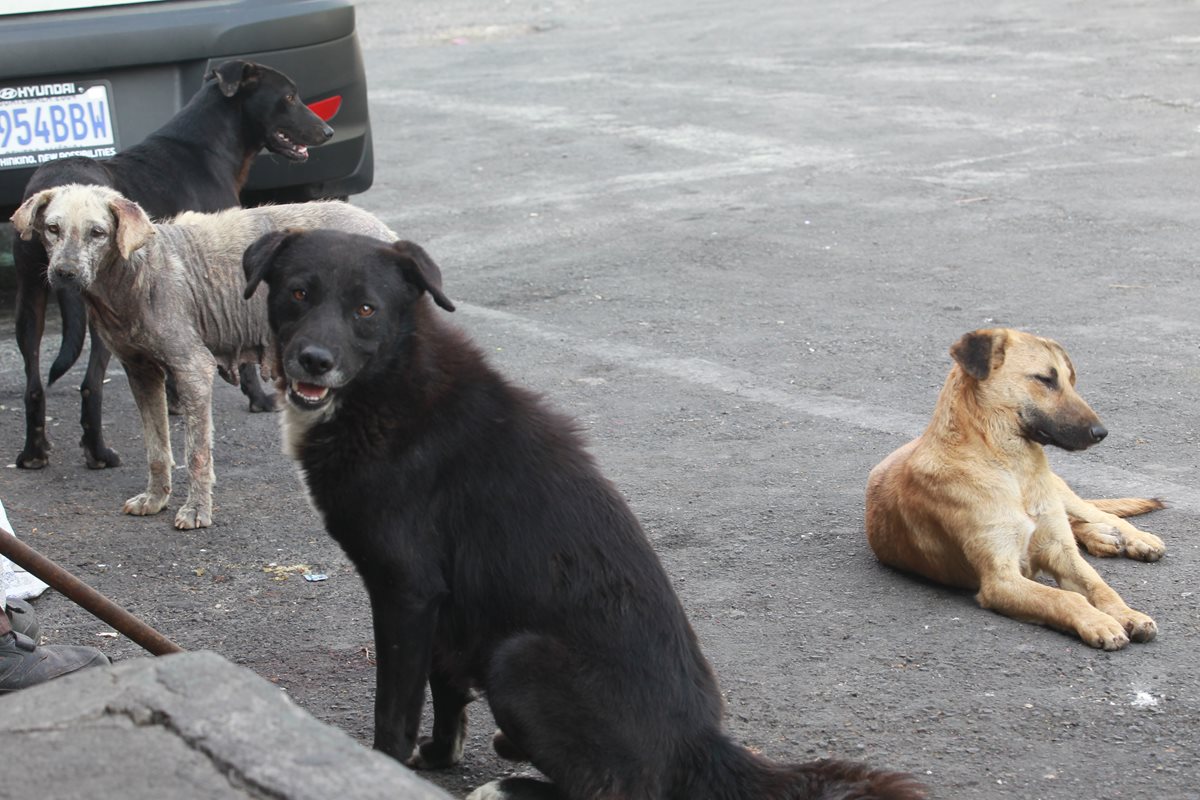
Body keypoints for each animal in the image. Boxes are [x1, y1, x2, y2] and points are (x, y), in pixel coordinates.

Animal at [11, 183, 396, 527]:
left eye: (97, 232)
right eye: (53, 229)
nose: (64, 273)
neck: (137, 271)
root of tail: (386, 234)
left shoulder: (193, 369)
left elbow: (196, 452)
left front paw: (197, 510)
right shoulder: (141, 372)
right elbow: (157, 448)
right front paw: (156, 498)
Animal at [241, 226, 916, 800]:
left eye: (365, 309)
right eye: (298, 293)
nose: (313, 360)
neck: (389, 384)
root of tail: (697, 745)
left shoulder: (406, 591)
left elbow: (395, 708)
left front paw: (381, 767)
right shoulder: (446, 604)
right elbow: (446, 689)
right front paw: (438, 754)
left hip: (520, 657)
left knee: (610, 790)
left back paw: (509, 785)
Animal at [868, 331, 1166, 652]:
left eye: (1070, 380)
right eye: (1045, 379)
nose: (1101, 433)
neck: (1011, 468)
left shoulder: (1059, 551)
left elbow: (1099, 585)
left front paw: (1128, 613)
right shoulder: (1001, 580)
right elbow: (1064, 597)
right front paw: (1099, 621)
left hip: (1062, 495)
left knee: (1100, 516)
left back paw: (1135, 538)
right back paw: (1102, 538)